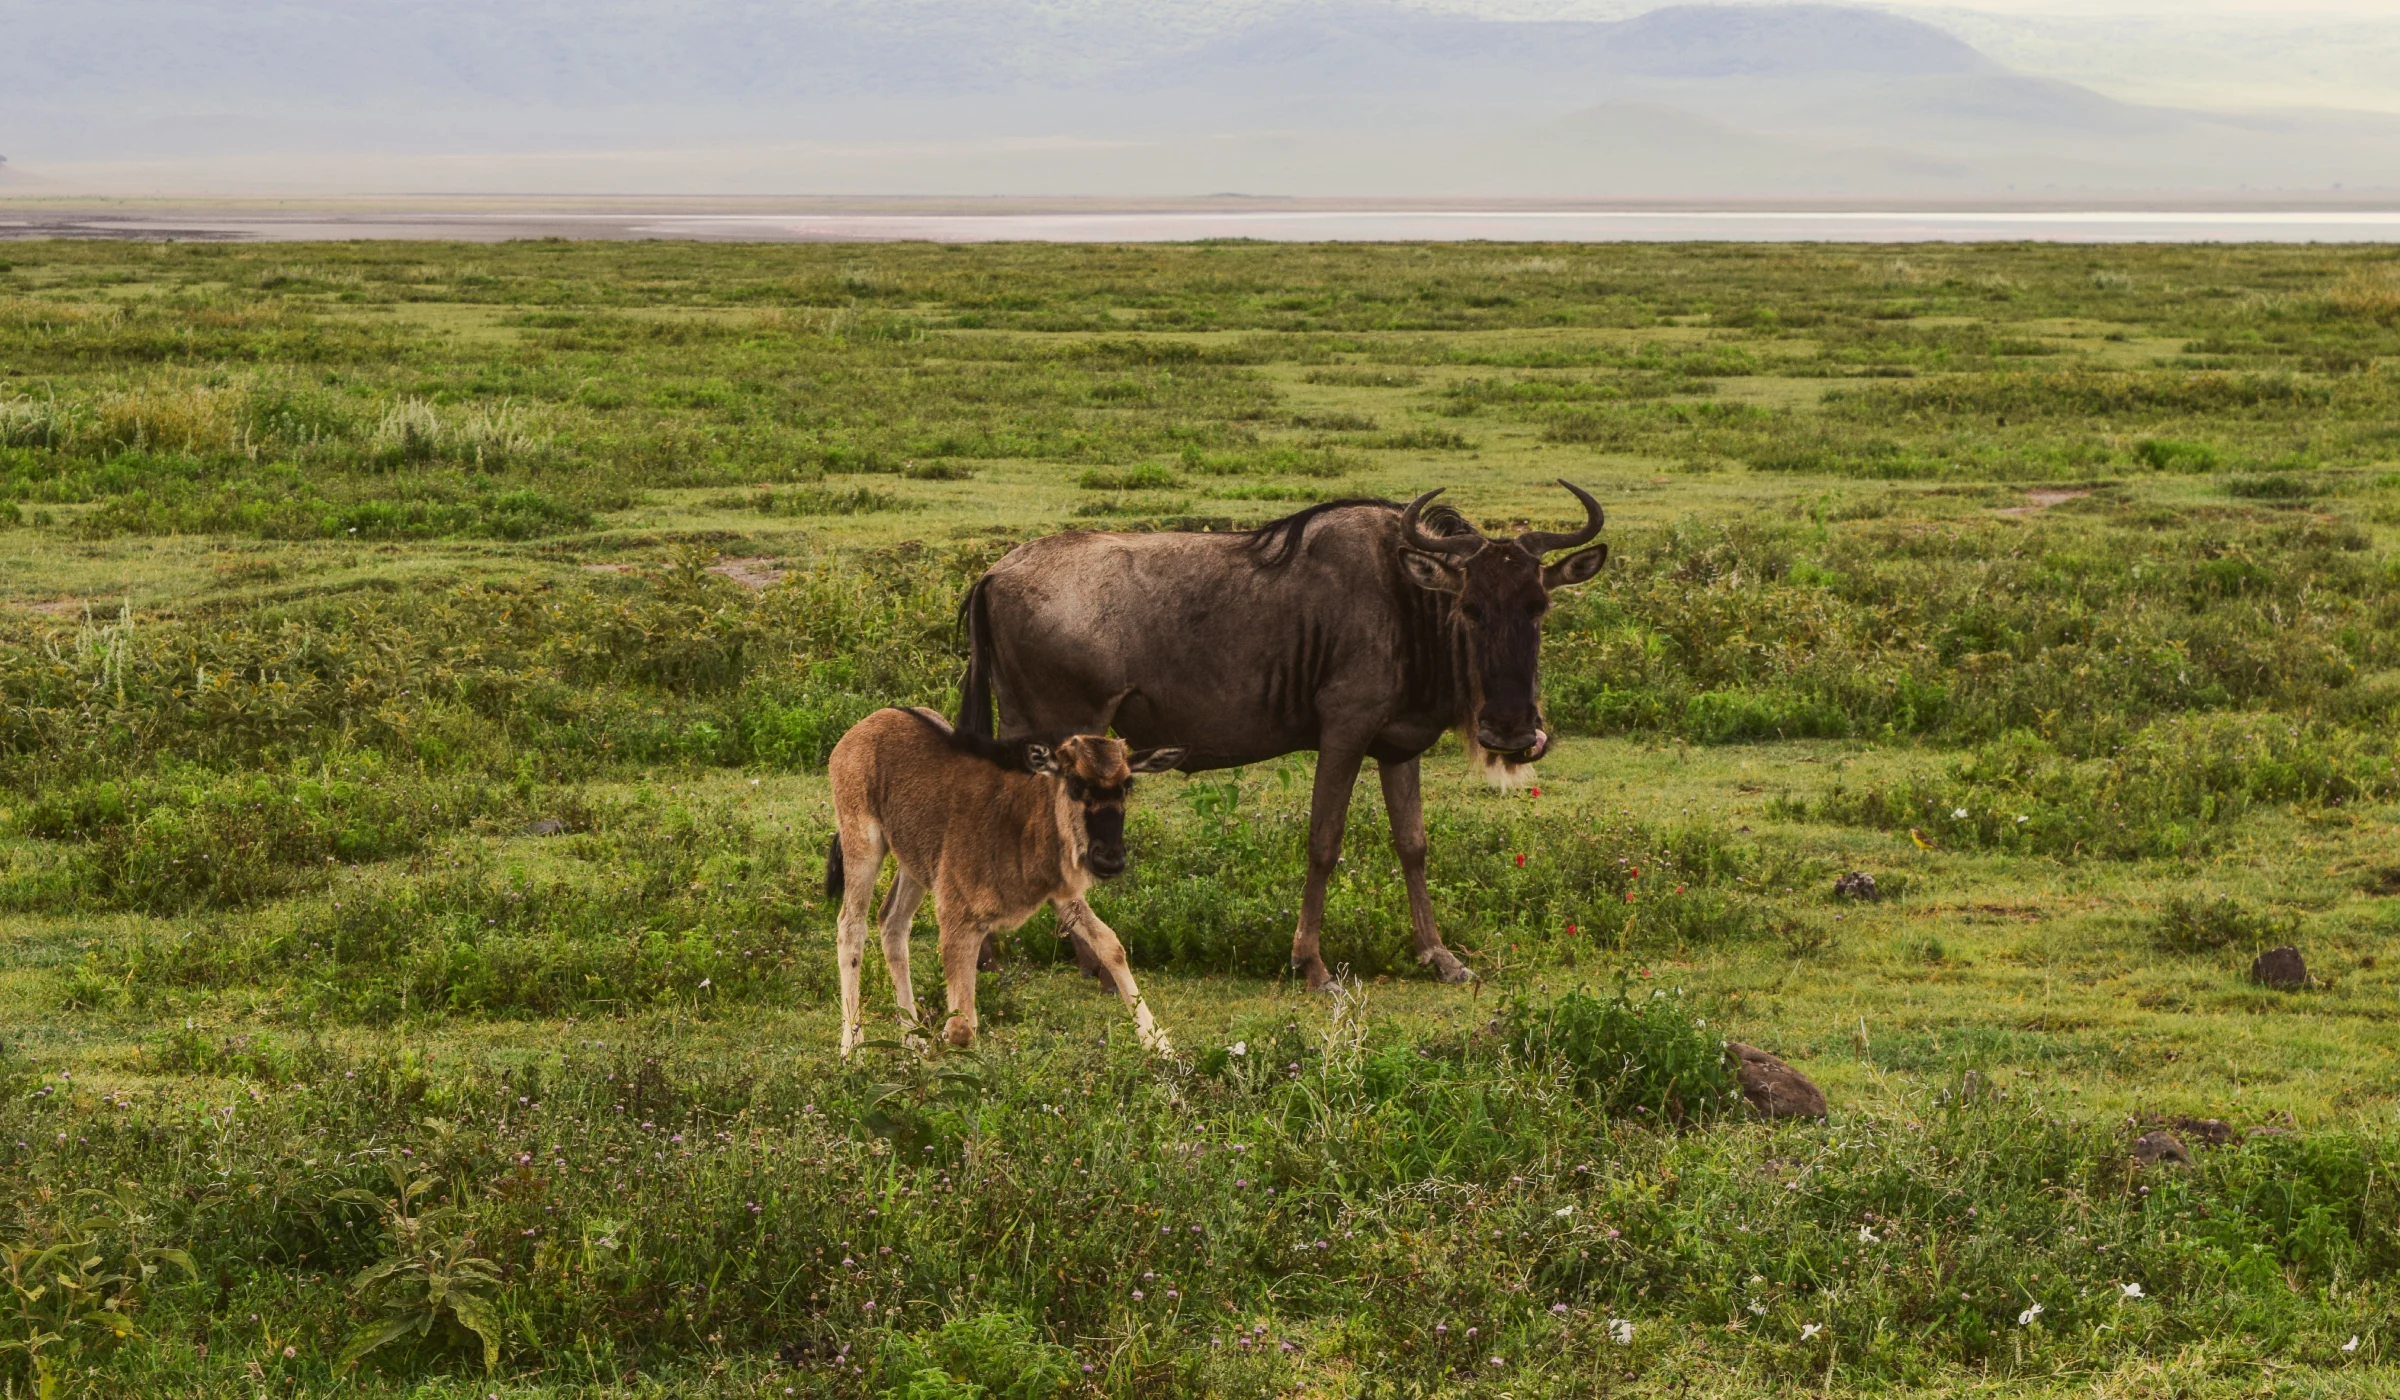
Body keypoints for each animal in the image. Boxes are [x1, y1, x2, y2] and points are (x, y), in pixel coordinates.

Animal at [825, 706, 1185, 1056]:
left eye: (1127, 786)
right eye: (1075, 782)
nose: (1109, 859)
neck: (1024, 823)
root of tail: (861, 729)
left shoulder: (1062, 895)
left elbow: (1111, 944)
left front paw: (1159, 1044)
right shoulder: (958, 918)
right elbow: (962, 1029)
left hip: (913, 861)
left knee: (893, 922)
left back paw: (912, 1040)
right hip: (863, 845)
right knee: (851, 926)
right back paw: (852, 1047)